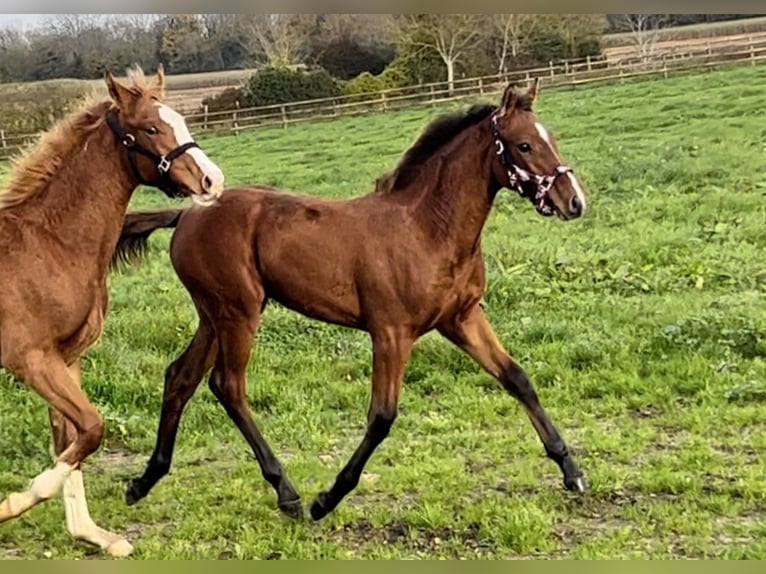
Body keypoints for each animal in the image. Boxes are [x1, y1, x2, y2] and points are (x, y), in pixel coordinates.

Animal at [0, 64, 226, 560]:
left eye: (180, 119)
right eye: (151, 129)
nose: (212, 182)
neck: (49, 243)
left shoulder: (68, 358)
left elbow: (73, 440)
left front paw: (93, 535)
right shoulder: (30, 359)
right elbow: (92, 429)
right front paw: (10, 505)